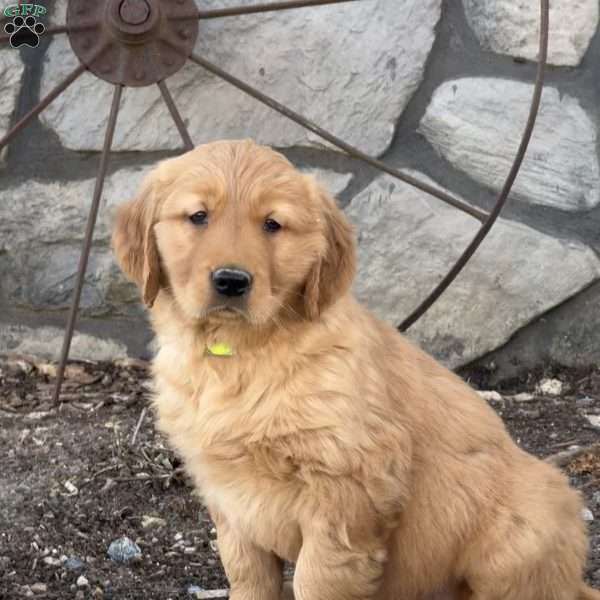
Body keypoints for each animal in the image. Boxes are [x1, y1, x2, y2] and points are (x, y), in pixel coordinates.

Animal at [112, 141, 596, 600]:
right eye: (198, 216)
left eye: (272, 224)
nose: (232, 280)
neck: (240, 355)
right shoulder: (229, 499)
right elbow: (247, 575)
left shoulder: (347, 493)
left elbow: (317, 580)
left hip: (527, 523)